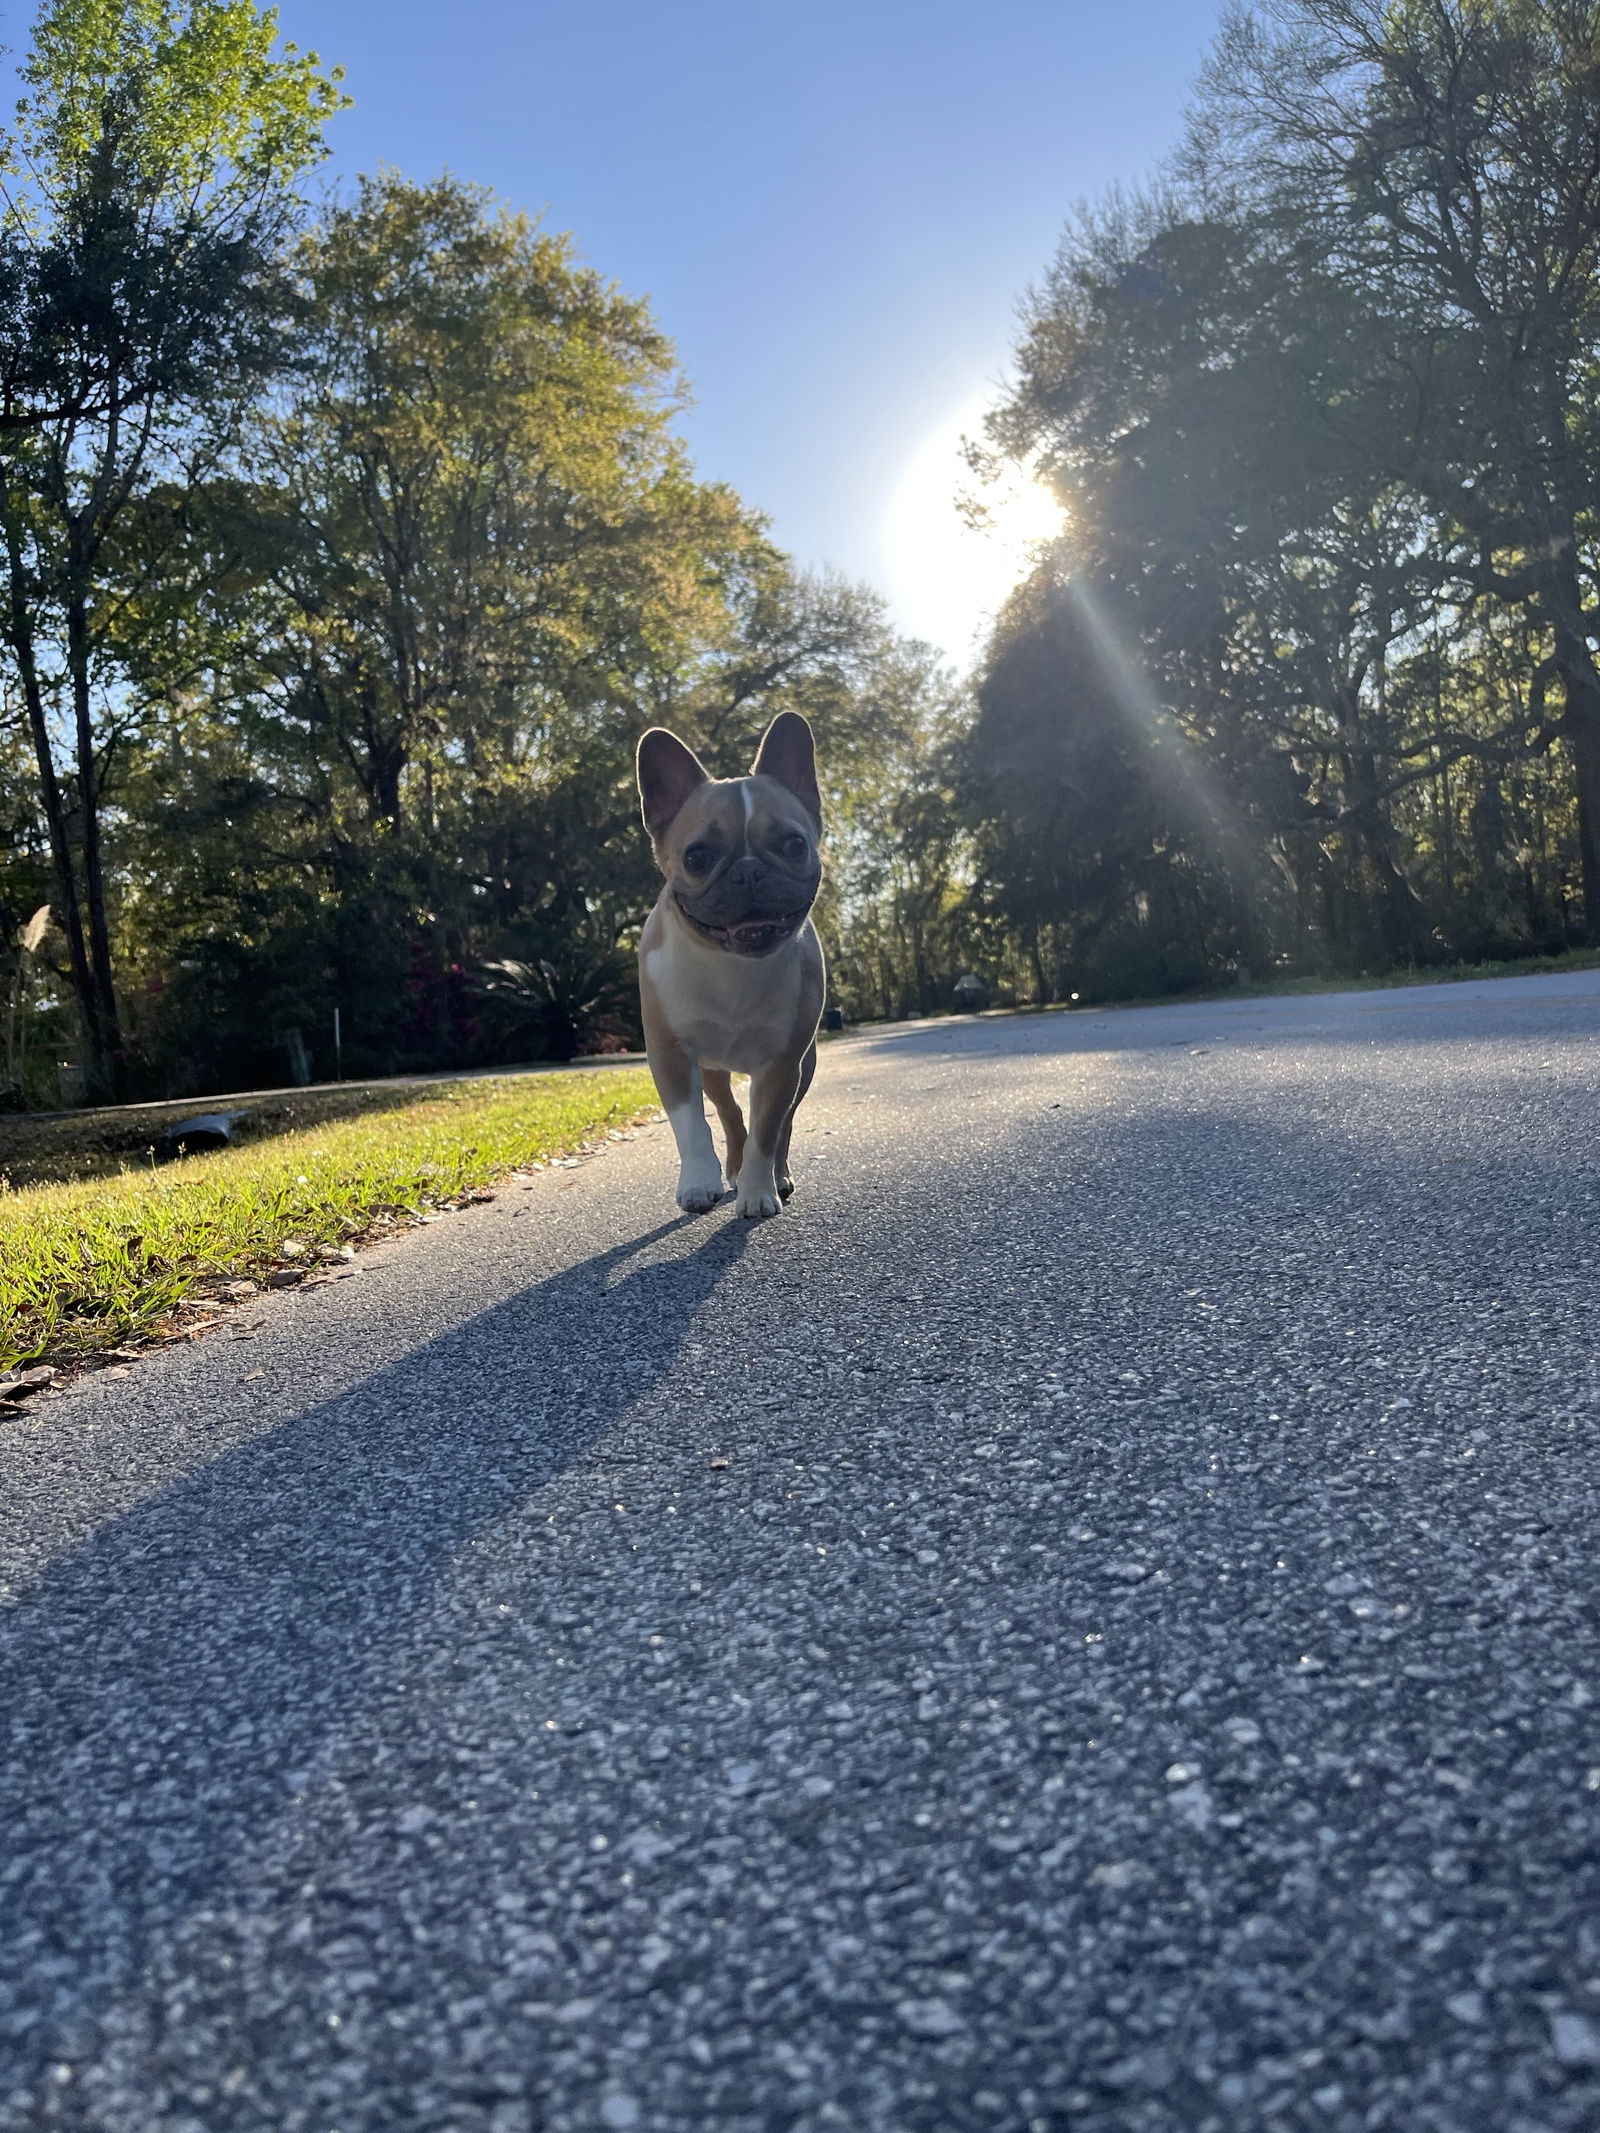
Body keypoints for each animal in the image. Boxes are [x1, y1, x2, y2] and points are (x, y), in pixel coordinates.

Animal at [635, 710, 825, 1219]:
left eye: (794, 845)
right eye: (697, 856)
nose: (749, 870)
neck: (730, 966)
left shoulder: (782, 1065)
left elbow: (767, 1132)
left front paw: (759, 1191)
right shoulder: (671, 1056)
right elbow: (692, 1127)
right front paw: (699, 1183)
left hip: (805, 1065)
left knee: (781, 1126)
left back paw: (776, 1176)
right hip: (713, 1070)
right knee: (728, 1111)